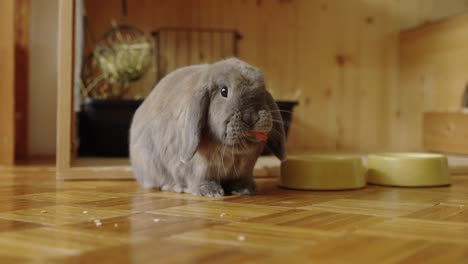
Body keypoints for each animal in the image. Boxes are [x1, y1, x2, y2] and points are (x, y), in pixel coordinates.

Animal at [130, 57, 288, 196]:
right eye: (224, 91)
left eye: (262, 91)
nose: (251, 116)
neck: (233, 152)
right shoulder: (198, 167)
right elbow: (201, 178)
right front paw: (211, 192)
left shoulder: (245, 170)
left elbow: (242, 179)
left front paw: (246, 190)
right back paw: (177, 187)